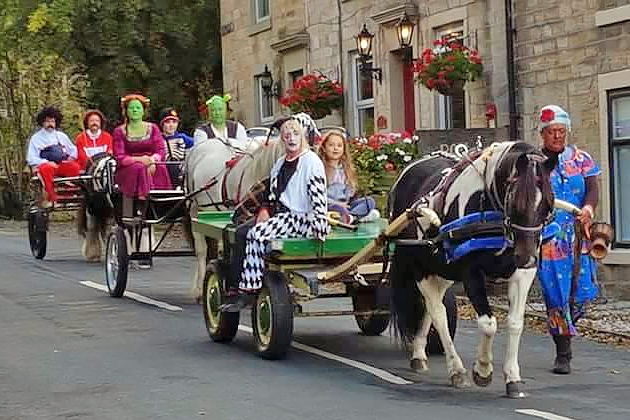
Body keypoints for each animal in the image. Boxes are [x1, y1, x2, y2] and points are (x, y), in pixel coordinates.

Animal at [388, 141, 556, 398]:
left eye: (548, 204)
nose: (527, 257)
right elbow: (488, 324)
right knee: (438, 314)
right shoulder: (471, 272)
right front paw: (483, 370)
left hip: (441, 269)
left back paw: (419, 354)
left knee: (430, 308)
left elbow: (515, 323)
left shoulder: (522, 274)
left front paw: (512, 378)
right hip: (420, 267)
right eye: (515, 203)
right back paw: (456, 370)